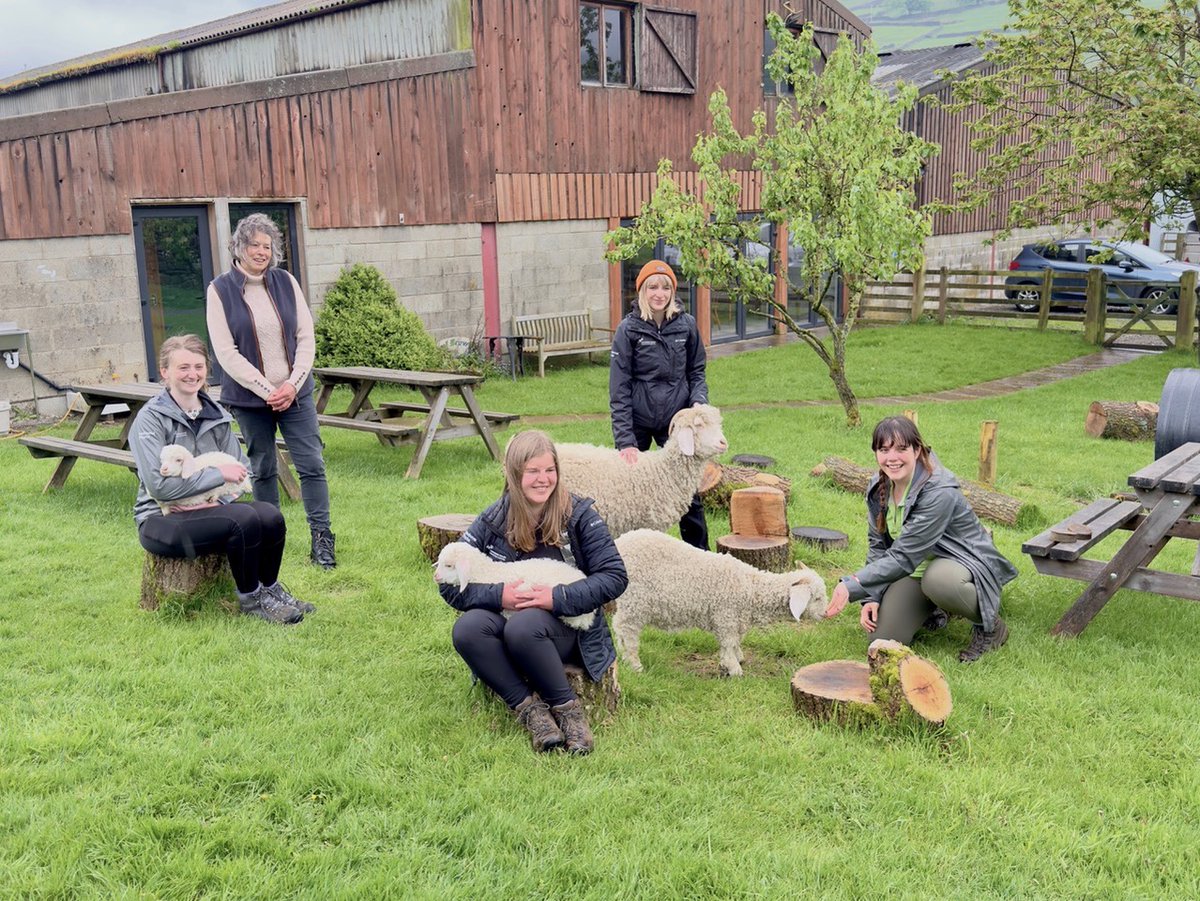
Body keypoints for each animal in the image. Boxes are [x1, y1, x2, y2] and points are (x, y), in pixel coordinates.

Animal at [614, 527, 830, 676]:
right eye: (817, 597)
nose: (826, 614)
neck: (750, 588)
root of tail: (620, 542)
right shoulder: (726, 616)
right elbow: (728, 643)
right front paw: (733, 668)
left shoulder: (735, 620)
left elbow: (735, 642)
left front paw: (738, 657)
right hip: (635, 601)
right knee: (626, 629)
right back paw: (634, 664)